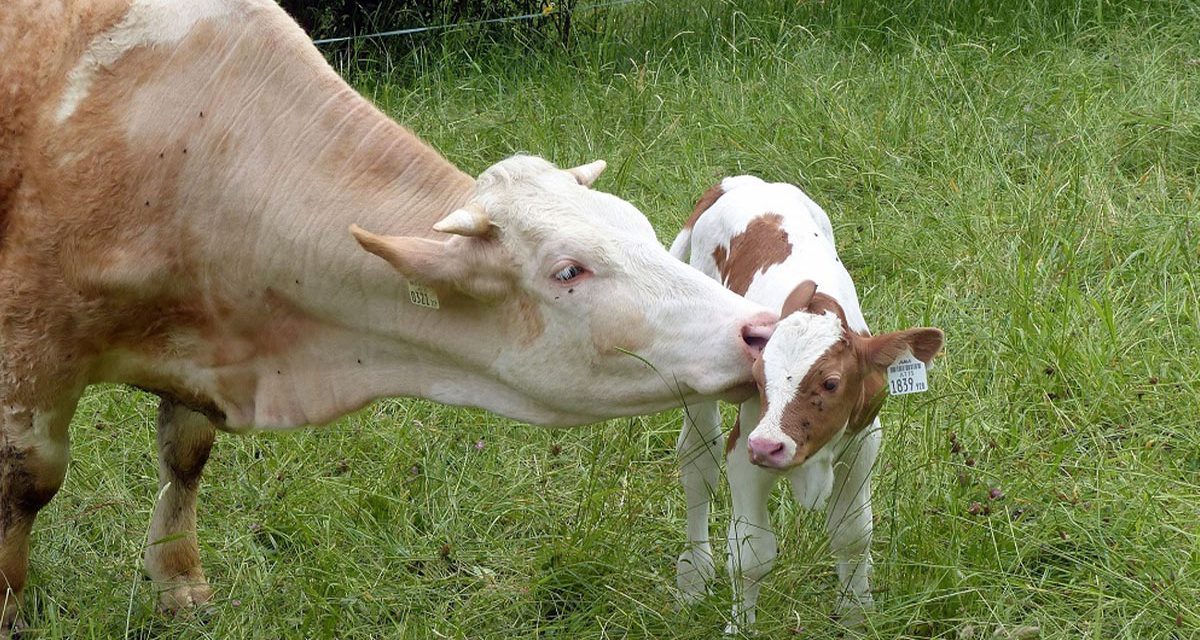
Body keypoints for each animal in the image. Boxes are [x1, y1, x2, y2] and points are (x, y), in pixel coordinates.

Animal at [0, 0, 772, 629]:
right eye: (568, 271)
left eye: (639, 227)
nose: (758, 329)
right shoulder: (30, 346)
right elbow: (29, 481)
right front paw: (10, 604)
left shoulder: (200, 344)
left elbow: (186, 454)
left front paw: (177, 581)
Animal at [672, 176, 940, 633]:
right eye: (758, 377)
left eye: (831, 383)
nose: (768, 446)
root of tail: (740, 181)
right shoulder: (746, 449)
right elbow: (751, 554)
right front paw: (741, 628)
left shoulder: (862, 443)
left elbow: (853, 534)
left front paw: (856, 614)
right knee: (698, 463)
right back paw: (694, 574)